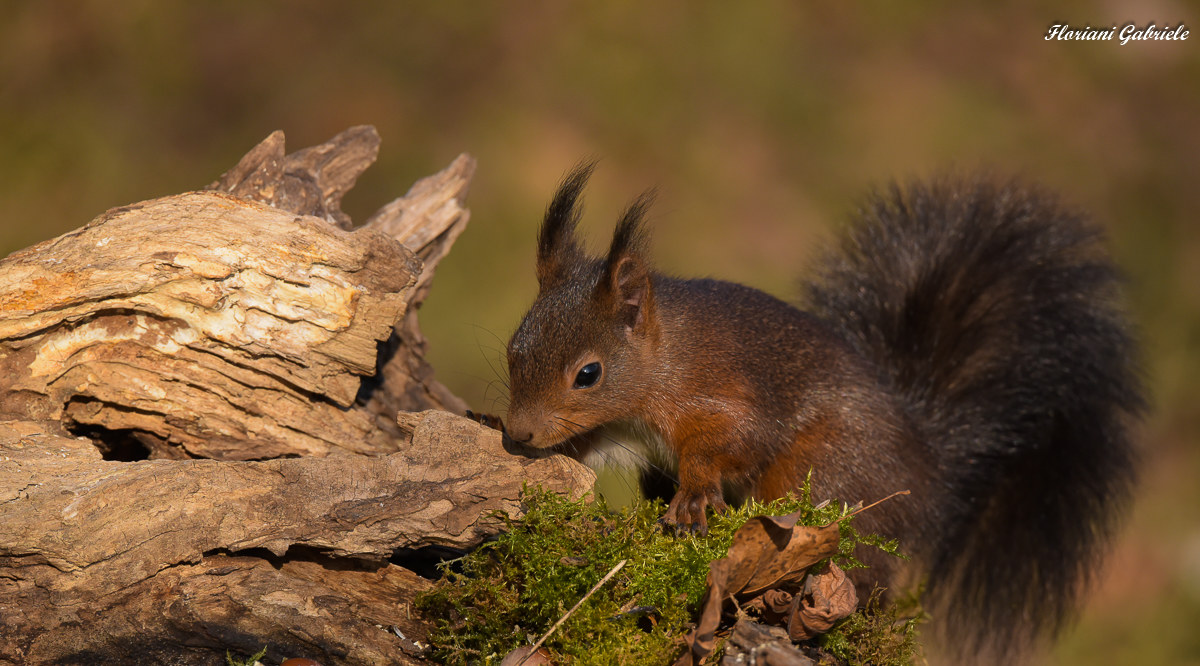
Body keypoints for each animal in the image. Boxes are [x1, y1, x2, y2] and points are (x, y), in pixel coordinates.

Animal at [502, 162, 1144, 659]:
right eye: (514, 346)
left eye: (589, 374)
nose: (518, 434)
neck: (662, 362)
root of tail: (931, 468)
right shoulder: (625, 430)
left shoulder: (721, 395)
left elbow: (732, 442)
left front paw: (694, 495)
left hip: (828, 475)